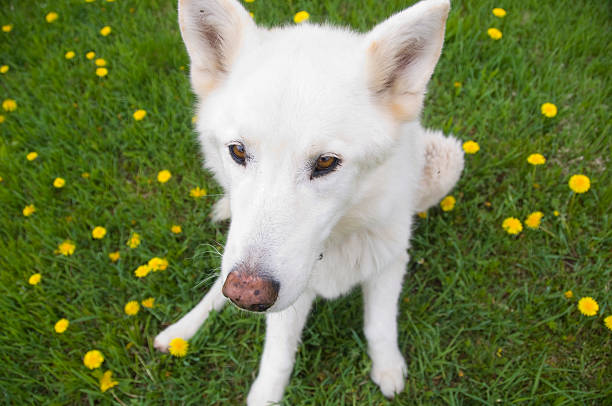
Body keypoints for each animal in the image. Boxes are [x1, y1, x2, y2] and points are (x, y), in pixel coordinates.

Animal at [154, 0, 464, 402]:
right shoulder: (281, 294)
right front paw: (265, 397)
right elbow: (278, 355)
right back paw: (182, 330)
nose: (246, 295)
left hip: (447, 161)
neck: (333, 243)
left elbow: (379, 326)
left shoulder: (389, 264)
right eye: (238, 151)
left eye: (326, 162)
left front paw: (388, 369)